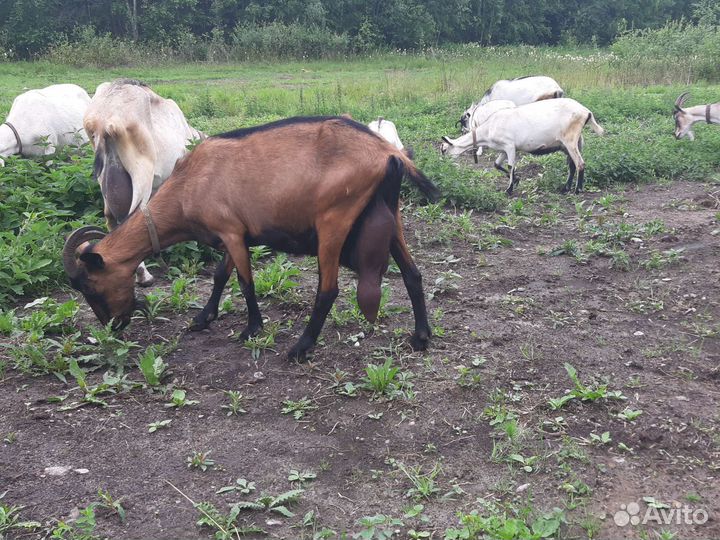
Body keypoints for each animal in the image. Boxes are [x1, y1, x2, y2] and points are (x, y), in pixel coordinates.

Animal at [63, 116, 439, 360]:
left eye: (90, 285)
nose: (114, 325)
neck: (189, 184)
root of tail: (388, 152)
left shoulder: (231, 231)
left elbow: (244, 282)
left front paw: (252, 329)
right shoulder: (235, 233)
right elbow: (220, 275)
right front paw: (203, 318)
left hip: (335, 218)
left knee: (328, 289)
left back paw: (300, 347)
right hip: (391, 213)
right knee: (413, 274)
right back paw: (421, 337)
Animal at [83, 79, 204, 286]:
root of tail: (104, 121)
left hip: (105, 178)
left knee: (111, 218)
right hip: (141, 173)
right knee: (131, 217)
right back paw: (143, 275)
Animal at [441, 98, 604, 195]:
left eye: (443, 149)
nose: (443, 166)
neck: (488, 128)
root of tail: (586, 112)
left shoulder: (510, 146)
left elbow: (510, 166)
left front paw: (509, 189)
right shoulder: (505, 149)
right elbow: (496, 164)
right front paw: (517, 180)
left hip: (570, 140)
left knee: (580, 163)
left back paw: (577, 190)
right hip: (572, 143)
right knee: (572, 165)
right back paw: (565, 188)